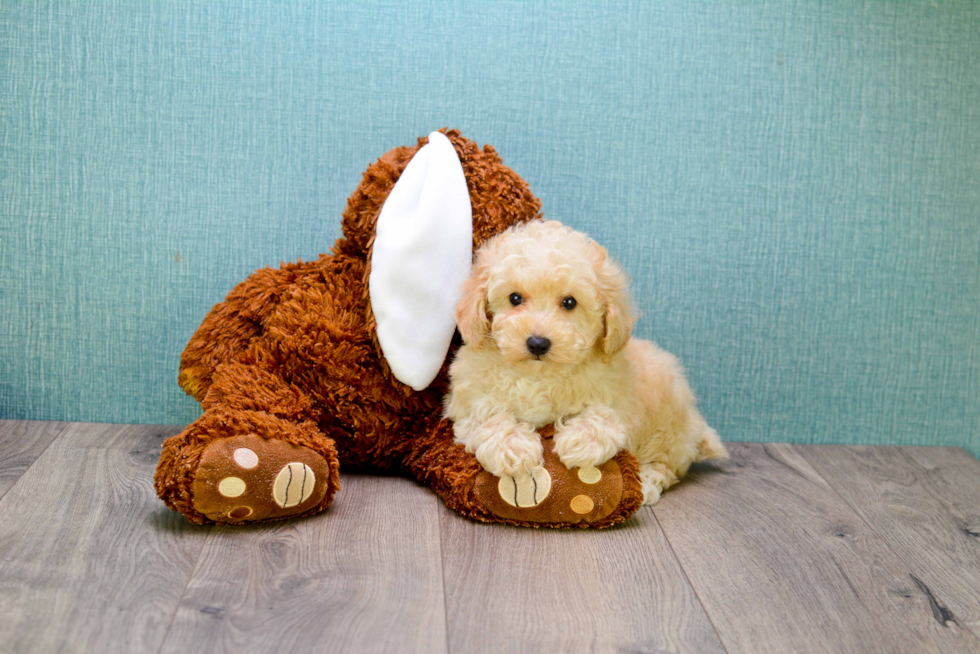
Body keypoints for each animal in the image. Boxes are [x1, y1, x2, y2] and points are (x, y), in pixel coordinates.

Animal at [444, 220, 728, 508]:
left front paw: (579, 441)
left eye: (569, 302)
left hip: (666, 426)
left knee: (665, 465)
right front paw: (513, 447)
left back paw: (646, 482)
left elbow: (602, 416)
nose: (537, 343)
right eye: (514, 298)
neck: (539, 375)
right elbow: (487, 413)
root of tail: (695, 424)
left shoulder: (619, 399)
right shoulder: (467, 398)